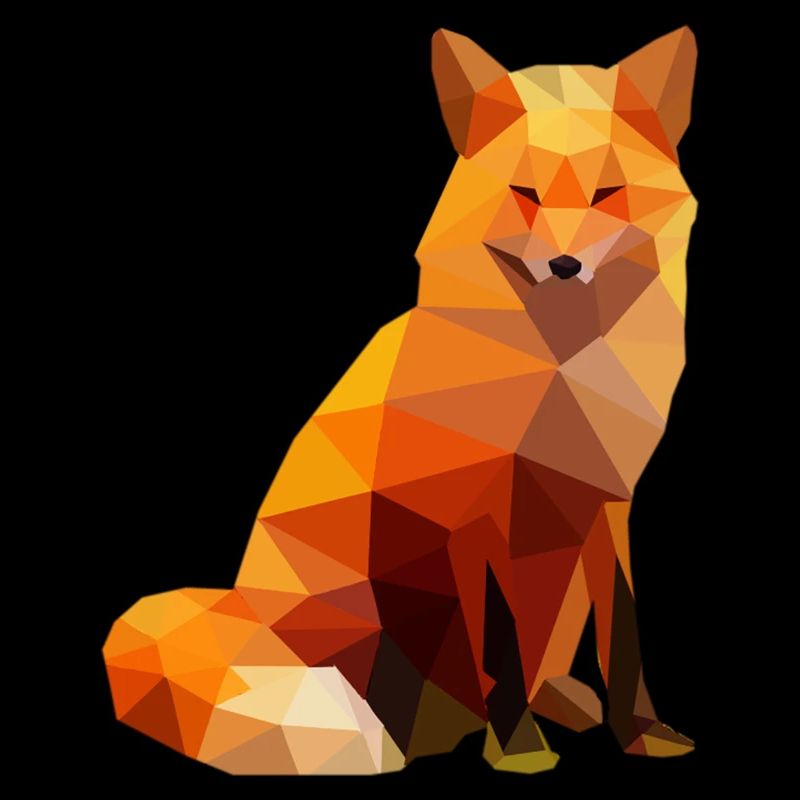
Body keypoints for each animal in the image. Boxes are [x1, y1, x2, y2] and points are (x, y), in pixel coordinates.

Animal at [104, 27, 697, 775]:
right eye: (525, 193)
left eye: (609, 193)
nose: (565, 267)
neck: (559, 376)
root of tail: (244, 608)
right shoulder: (477, 521)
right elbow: (501, 656)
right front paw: (518, 751)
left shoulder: (607, 507)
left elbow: (625, 643)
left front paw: (644, 735)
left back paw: (561, 702)